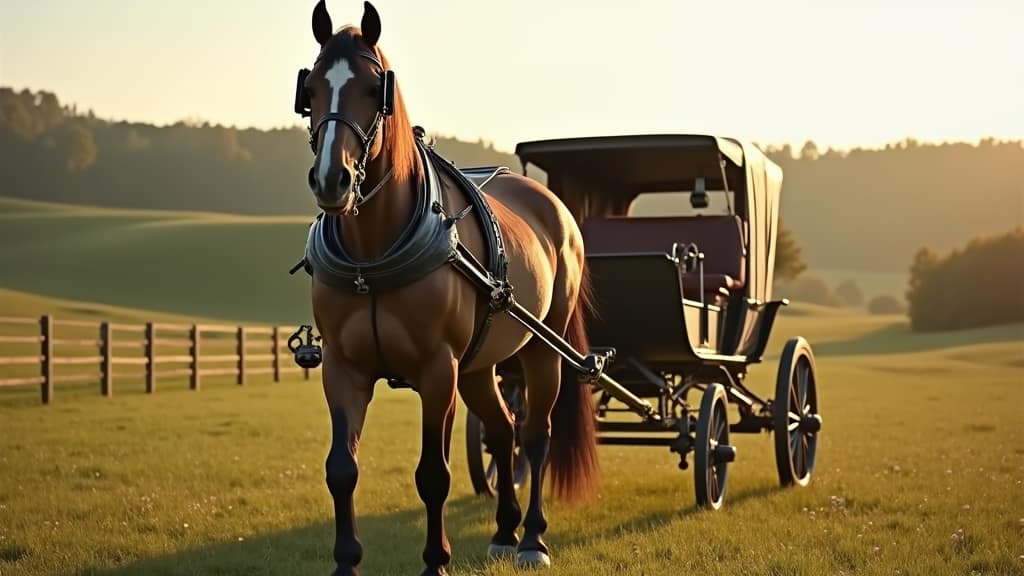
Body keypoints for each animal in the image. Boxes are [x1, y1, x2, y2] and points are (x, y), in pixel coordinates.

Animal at [294, 1, 600, 574]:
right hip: (479, 365)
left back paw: (532, 539)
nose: (332, 180)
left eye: (373, 88)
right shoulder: (343, 369)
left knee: (535, 436)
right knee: (503, 431)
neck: (374, 254)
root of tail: (555, 207)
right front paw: (346, 561)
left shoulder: (438, 370)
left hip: (541, 349)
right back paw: (504, 531)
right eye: (312, 89)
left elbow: (432, 475)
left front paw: (436, 560)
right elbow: (341, 469)